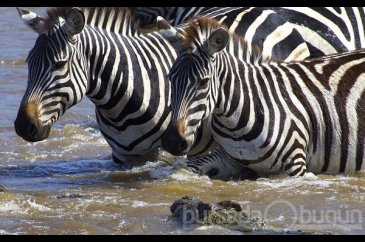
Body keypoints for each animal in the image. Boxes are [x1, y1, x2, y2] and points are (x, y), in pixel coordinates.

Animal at [161, 17, 364, 179]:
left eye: (203, 82)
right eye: (170, 78)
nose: (171, 141)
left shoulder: (296, 164)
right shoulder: (229, 157)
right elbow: (193, 168)